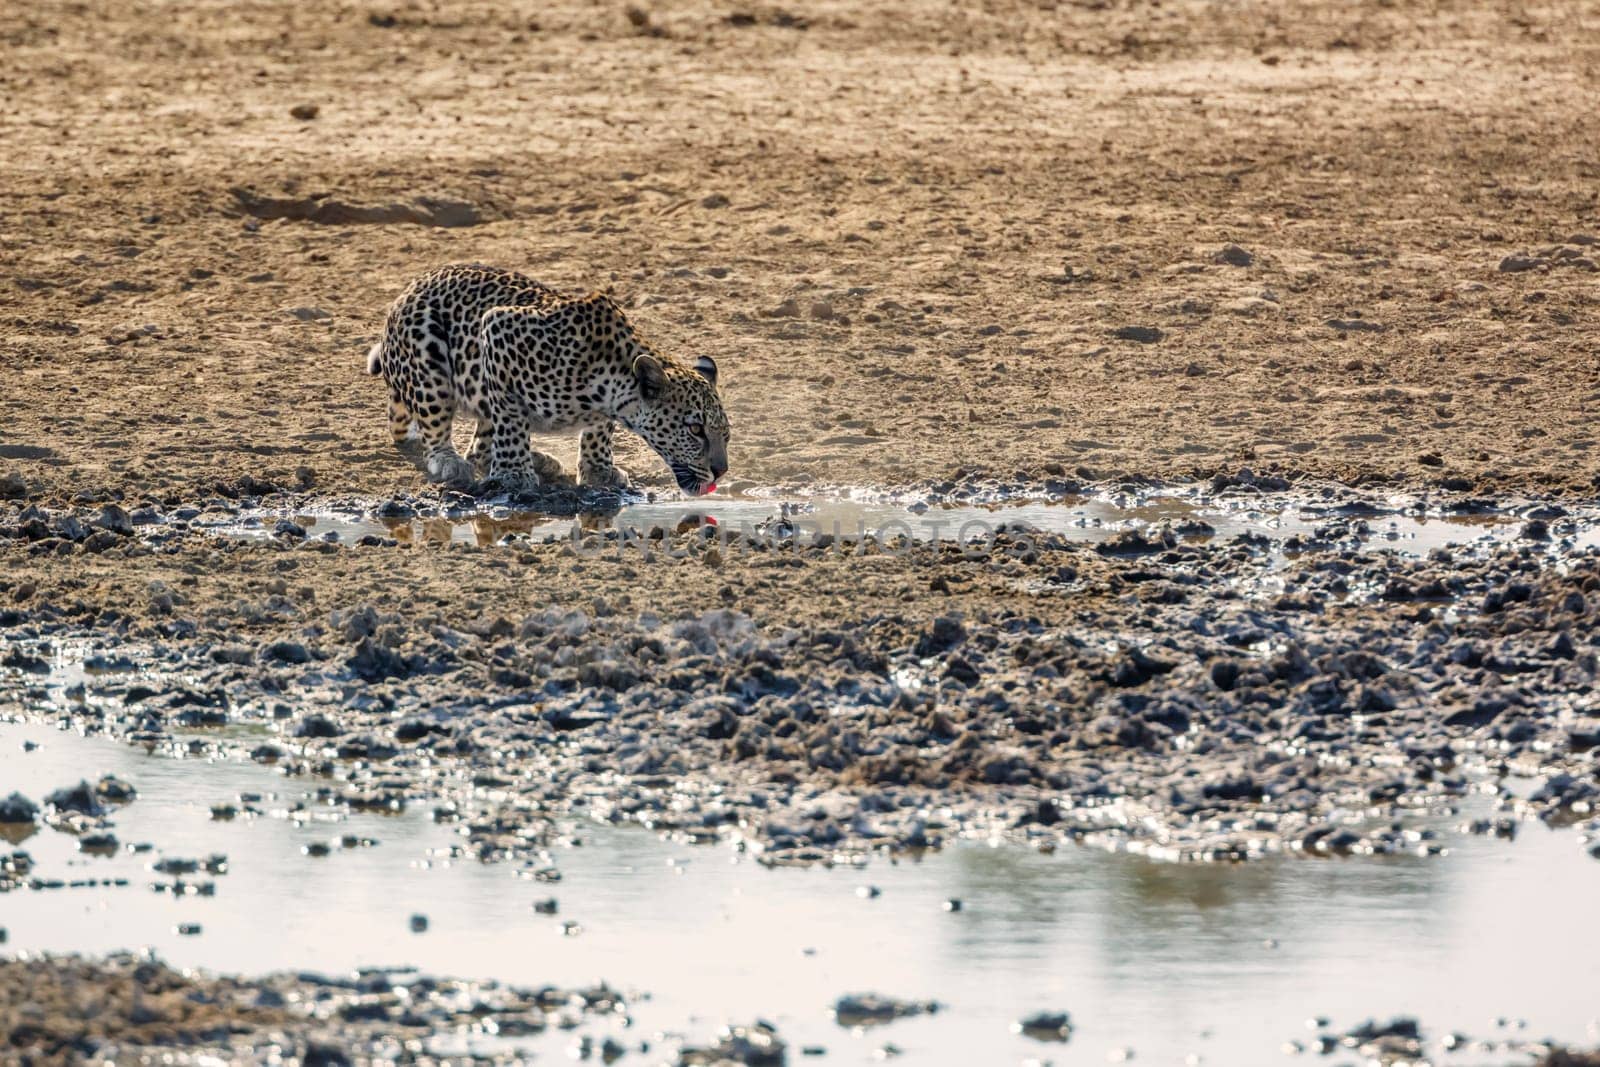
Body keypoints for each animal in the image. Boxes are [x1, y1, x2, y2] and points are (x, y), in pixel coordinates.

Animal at [366, 262, 729, 495]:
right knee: (441, 431)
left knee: (479, 447)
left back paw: (541, 460)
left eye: (725, 434)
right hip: (427, 359)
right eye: (695, 430)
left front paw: (598, 470)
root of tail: (405, 293)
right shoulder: (498, 329)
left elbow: (599, 431)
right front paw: (514, 475)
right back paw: (449, 460)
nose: (721, 471)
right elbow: (511, 422)